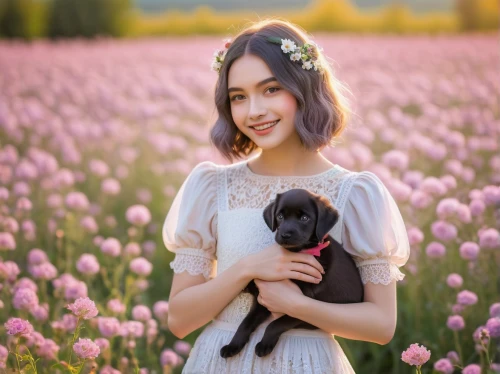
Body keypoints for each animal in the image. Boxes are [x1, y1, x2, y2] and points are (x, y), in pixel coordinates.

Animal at [220, 188, 364, 358]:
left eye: (304, 218)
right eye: (280, 216)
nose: (285, 235)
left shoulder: (302, 307)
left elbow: (276, 323)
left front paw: (264, 344)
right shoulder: (262, 301)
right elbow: (246, 323)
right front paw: (233, 345)